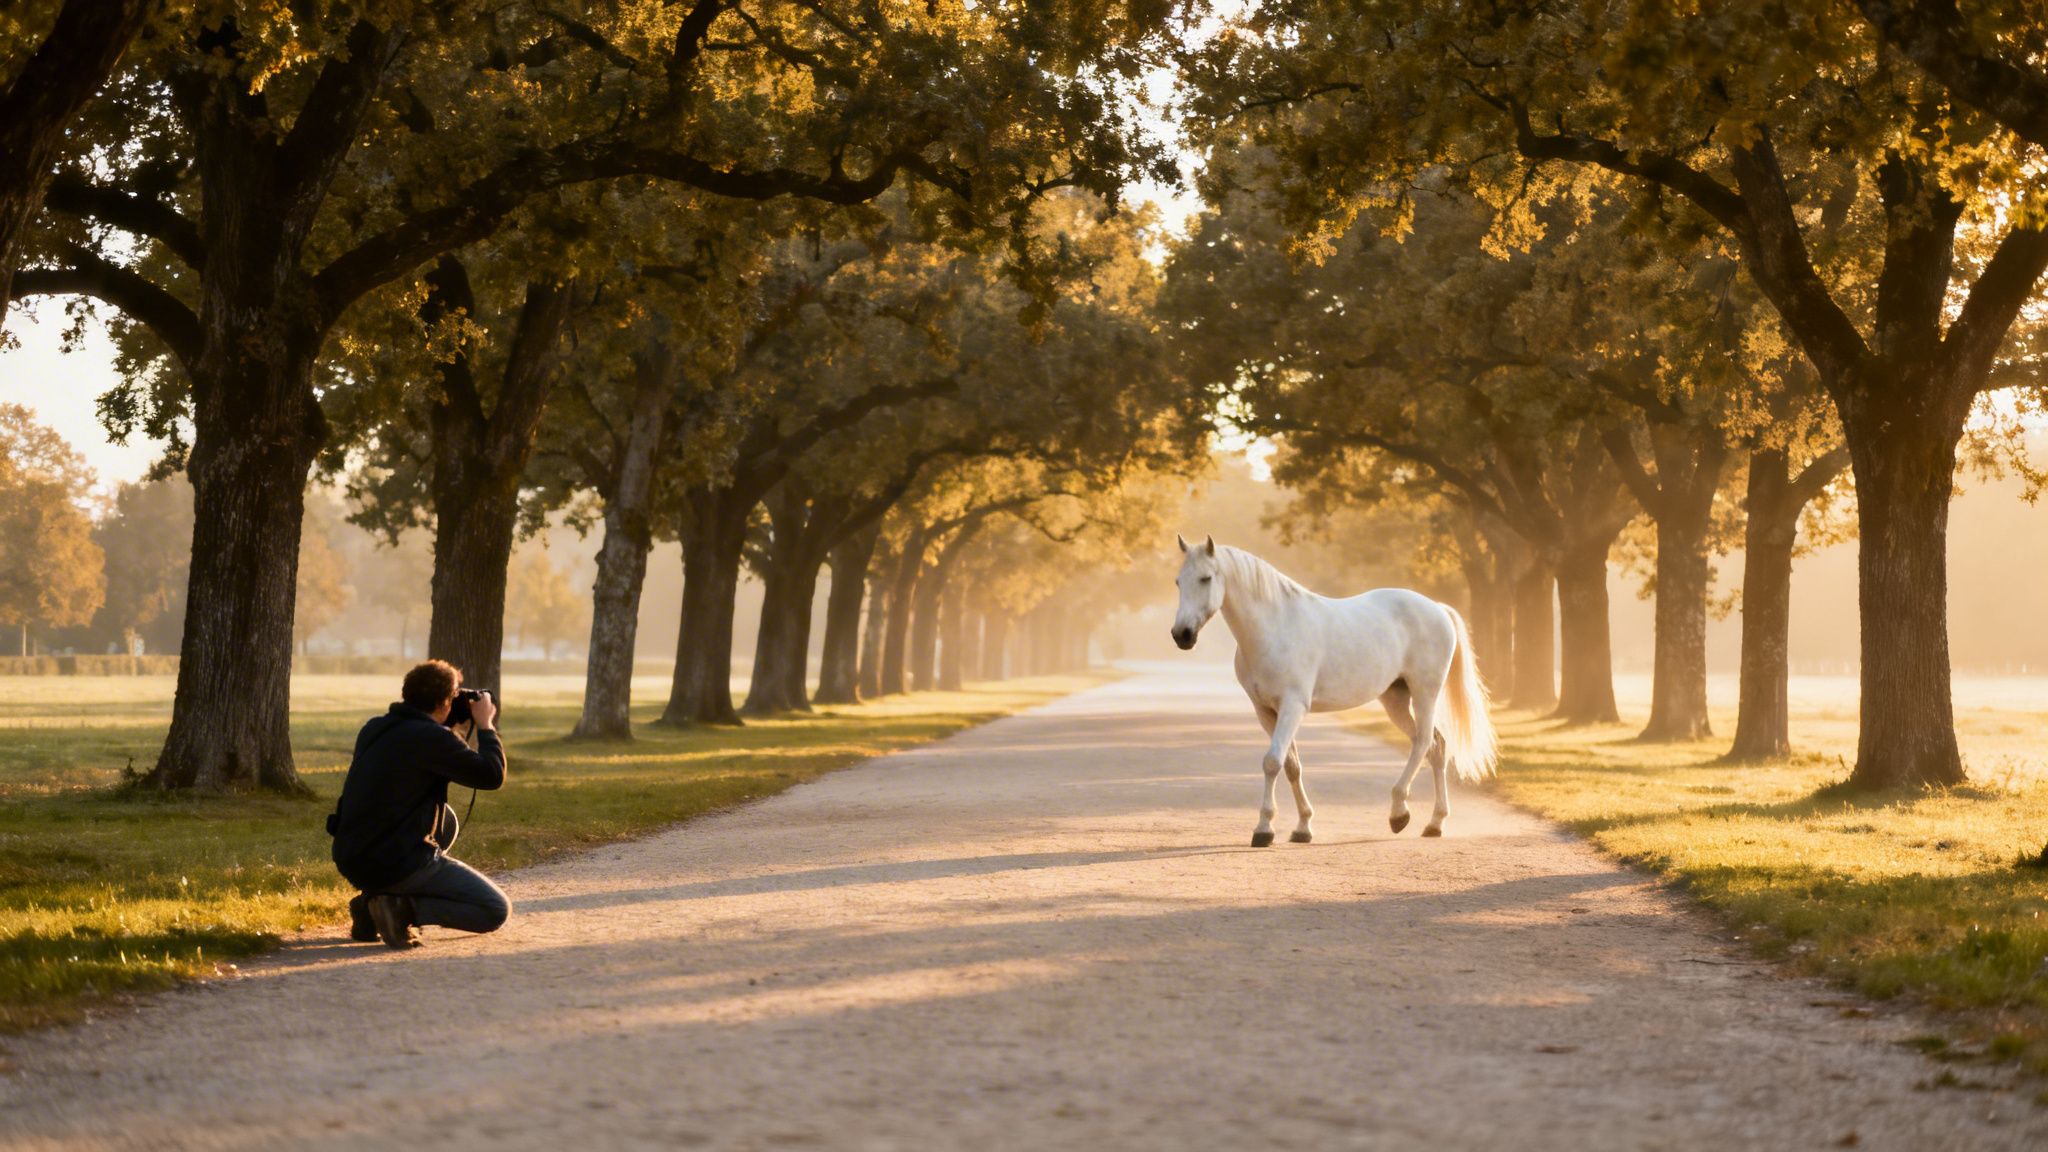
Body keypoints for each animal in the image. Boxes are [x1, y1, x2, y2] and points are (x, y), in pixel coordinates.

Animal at [1170, 535, 1497, 846]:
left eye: (1205, 578)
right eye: (1178, 581)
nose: (1181, 635)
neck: (1275, 628)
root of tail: (1437, 609)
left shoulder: (1293, 707)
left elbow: (1272, 762)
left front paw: (1264, 830)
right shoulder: (1266, 711)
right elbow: (1291, 766)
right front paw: (1302, 827)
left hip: (1424, 693)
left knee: (1424, 743)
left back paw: (1399, 813)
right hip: (1395, 699)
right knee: (1436, 746)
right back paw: (1434, 823)